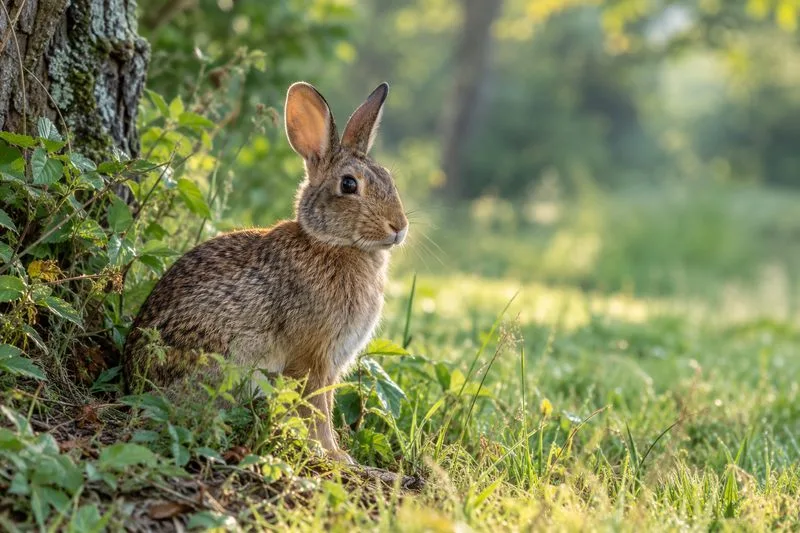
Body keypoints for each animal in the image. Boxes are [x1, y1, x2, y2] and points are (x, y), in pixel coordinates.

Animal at [123, 82, 408, 463]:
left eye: (389, 179)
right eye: (349, 185)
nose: (399, 227)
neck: (331, 243)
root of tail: (133, 381)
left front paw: (333, 453)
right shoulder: (312, 358)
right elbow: (317, 409)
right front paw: (333, 456)